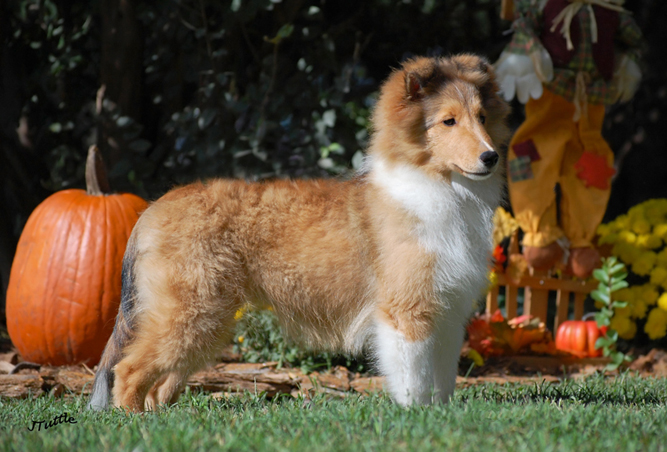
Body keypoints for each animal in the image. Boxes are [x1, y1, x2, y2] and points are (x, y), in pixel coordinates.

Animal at [88, 54, 512, 412]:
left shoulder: (448, 312)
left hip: (203, 319)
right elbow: (413, 377)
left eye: (482, 117)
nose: (490, 157)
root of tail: (151, 210)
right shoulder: (406, 310)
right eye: (448, 121)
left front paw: (440, 413)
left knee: (161, 383)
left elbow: (441, 376)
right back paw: (133, 419)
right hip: (190, 311)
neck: (440, 187)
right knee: (127, 371)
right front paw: (416, 415)